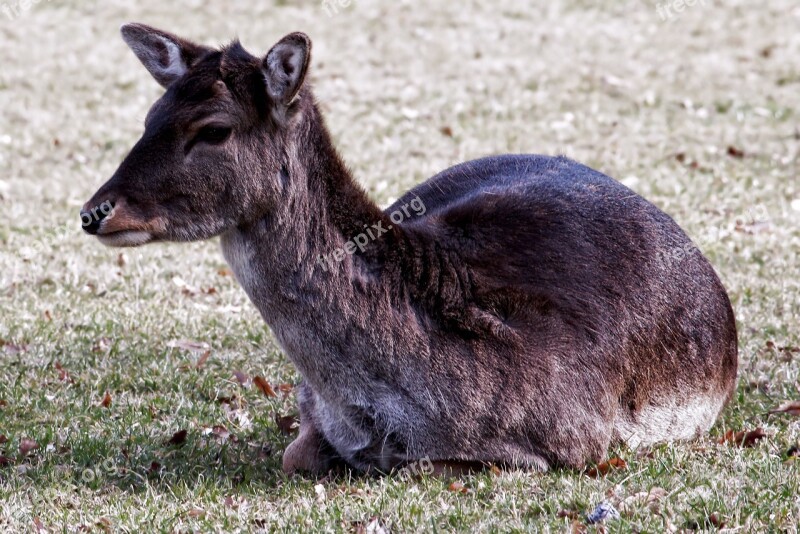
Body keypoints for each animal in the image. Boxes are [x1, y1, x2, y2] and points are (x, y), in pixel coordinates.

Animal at [81, 24, 736, 478]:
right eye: (151, 115)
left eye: (213, 128)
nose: (95, 211)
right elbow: (298, 455)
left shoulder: (579, 440)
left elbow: (424, 463)